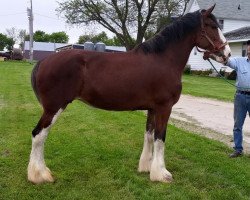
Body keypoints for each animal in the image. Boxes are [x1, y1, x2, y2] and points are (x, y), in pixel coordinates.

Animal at [27, 4, 230, 184]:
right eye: (213, 26)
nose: (226, 53)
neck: (164, 59)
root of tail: (44, 62)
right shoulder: (164, 108)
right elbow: (160, 138)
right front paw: (161, 174)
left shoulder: (152, 109)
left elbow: (149, 136)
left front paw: (147, 168)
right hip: (54, 107)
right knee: (39, 135)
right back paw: (40, 176)